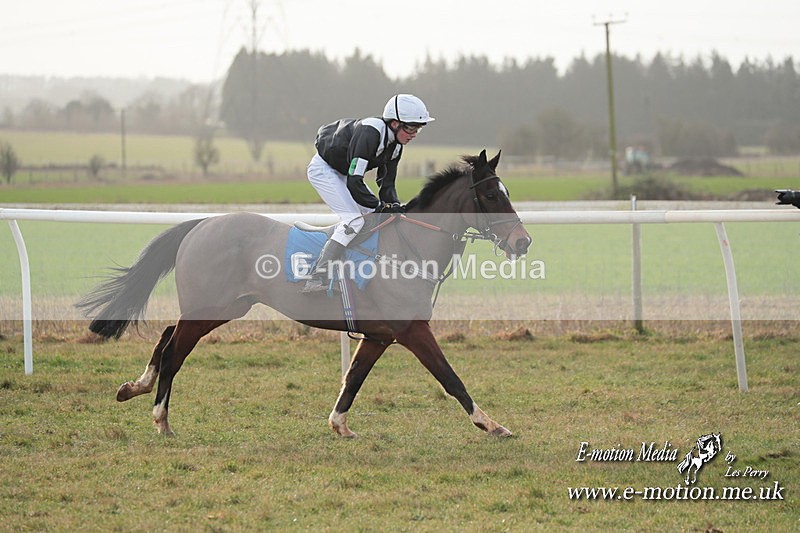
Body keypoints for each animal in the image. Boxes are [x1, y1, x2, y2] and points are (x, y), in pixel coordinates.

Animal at [77, 150, 532, 438]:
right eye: (492, 195)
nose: (523, 242)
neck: (410, 247)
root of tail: (202, 223)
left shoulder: (380, 335)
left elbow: (354, 378)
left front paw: (340, 425)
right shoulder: (412, 330)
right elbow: (451, 378)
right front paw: (492, 425)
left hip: (223, 306)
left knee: (167, 334)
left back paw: (134, 387)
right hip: (211, 306)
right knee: (175, 351)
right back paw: (161, 418)